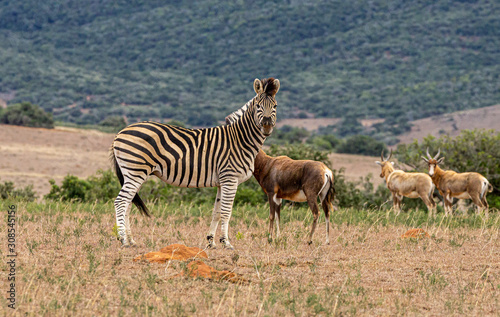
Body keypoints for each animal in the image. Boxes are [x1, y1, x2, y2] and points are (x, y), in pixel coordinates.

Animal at [111, 77, 280, 249]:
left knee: (128, 203)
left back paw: (131, 240)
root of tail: (120, 132)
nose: (267, 125)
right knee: (121, 202)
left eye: (275, 106)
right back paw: (123, 240)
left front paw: (211, 241)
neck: (240, 139)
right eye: (258, 106)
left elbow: (217, 212)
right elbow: (227, 212)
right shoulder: (230, 179)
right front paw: (226, 243)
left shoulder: (222, 182)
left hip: (133, 174)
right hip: (136, 171)